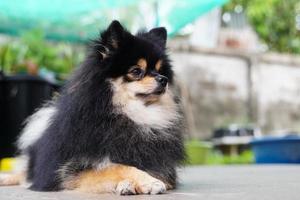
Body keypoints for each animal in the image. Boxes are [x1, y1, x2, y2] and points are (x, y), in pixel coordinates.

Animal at [0, 20, 185, 195]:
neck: (130, 115)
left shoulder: (162, 167)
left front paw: (131, 183)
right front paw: (146, 182)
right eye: (136, 71)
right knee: (24, 174)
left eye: (161, 71)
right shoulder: (69, 169)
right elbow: (115, 167)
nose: (163, 80)